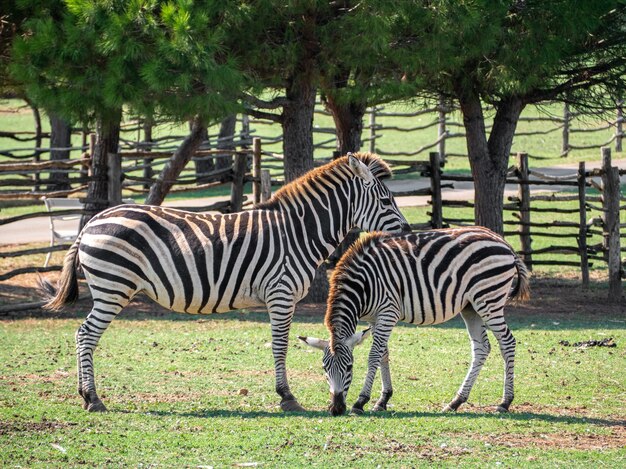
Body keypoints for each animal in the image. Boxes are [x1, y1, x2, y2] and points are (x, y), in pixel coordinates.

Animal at [40, 153, 410, 410]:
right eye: (386, 201)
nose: (407, 231)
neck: (297, 234)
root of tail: (92, 222)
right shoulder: (281, 293)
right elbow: (280, 345)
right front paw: (286, 396)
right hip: (113, 288)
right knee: (86, 335)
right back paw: (92, 398)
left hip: (110, 288)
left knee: (83, 335)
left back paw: (85, 396)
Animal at [298, 227, 528, 414]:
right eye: (324, 368)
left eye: (349, 367)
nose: (336, 409)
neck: (364, 285)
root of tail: (502, 242)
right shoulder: (375, 318)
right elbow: (383, 354)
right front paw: (382, 400)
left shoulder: (388, 312)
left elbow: (374, 355)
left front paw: (361, 401)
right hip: (471, 307)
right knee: (481, 348)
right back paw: (456, 402)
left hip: (489, 299)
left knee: (507, 342)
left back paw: (505, 402)